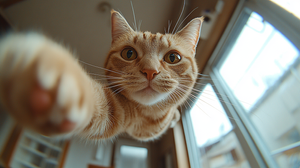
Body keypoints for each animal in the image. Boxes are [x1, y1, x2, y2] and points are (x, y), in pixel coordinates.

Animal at [0, 10, 204, 140]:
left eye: (173, 57)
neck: (148, 118)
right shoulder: (116, 110)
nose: (150, 71)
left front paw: (175, 116)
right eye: (129, 53)